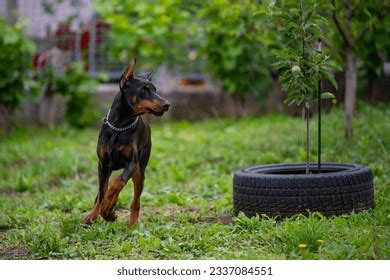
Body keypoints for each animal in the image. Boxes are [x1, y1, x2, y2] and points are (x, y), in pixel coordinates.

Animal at [84, 60, 170, 226]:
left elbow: (118, 182)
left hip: (140, 171)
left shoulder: (132, 164)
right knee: (102, 191)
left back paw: (132, 223)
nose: (167, 104)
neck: (120, 126)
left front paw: (108, 209)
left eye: (155, 89)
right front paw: (95, 214)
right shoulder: (103, 164)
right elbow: (103, 191)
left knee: (135, 200)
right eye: (143, 90)